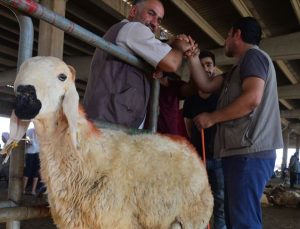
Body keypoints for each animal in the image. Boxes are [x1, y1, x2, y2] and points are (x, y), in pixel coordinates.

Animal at [2, 56, 213, 229]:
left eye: (62, 77)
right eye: (20, 72)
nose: (24, 95)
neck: (88, 153)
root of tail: (190, 146)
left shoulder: (118, 221)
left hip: (191, 217)